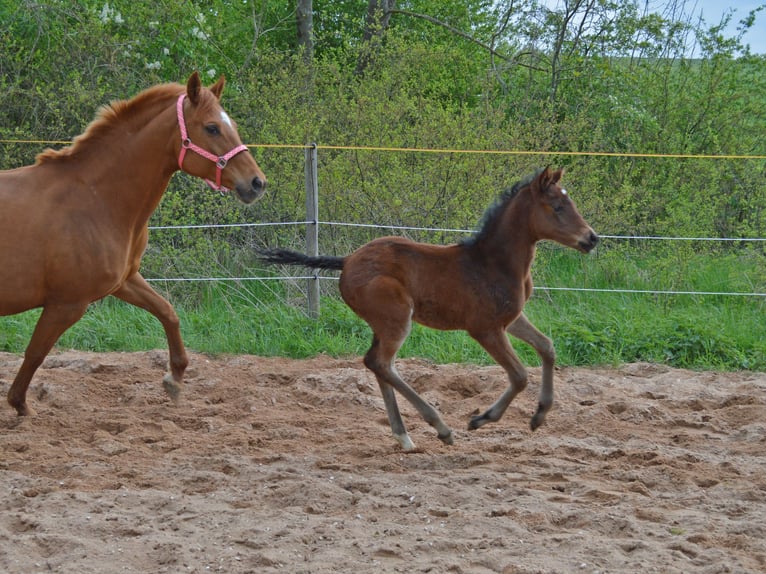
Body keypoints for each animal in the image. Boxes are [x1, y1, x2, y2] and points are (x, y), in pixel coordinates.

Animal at [0, 72, 268, 418]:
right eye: (212, 128)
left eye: (231, 123)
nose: (257, 183)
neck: (96, 199)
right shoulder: (66, 304)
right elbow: (35, 353)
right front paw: (21, 406)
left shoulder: (124, 281)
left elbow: (168, 311)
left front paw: (174, 379)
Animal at [262, 169, 600, 452]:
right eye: (557, 207)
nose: (592, 238)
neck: (494, 263)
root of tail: (346, 261)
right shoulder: (485, 329)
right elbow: (519, 375)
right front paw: (481, 419)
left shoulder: (511, 319)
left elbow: (547, 347)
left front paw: (539, 416)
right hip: (397, 319)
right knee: (381, 363)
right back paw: (441, 428)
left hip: (383, 324)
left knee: (375, 363)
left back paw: (404, 437)